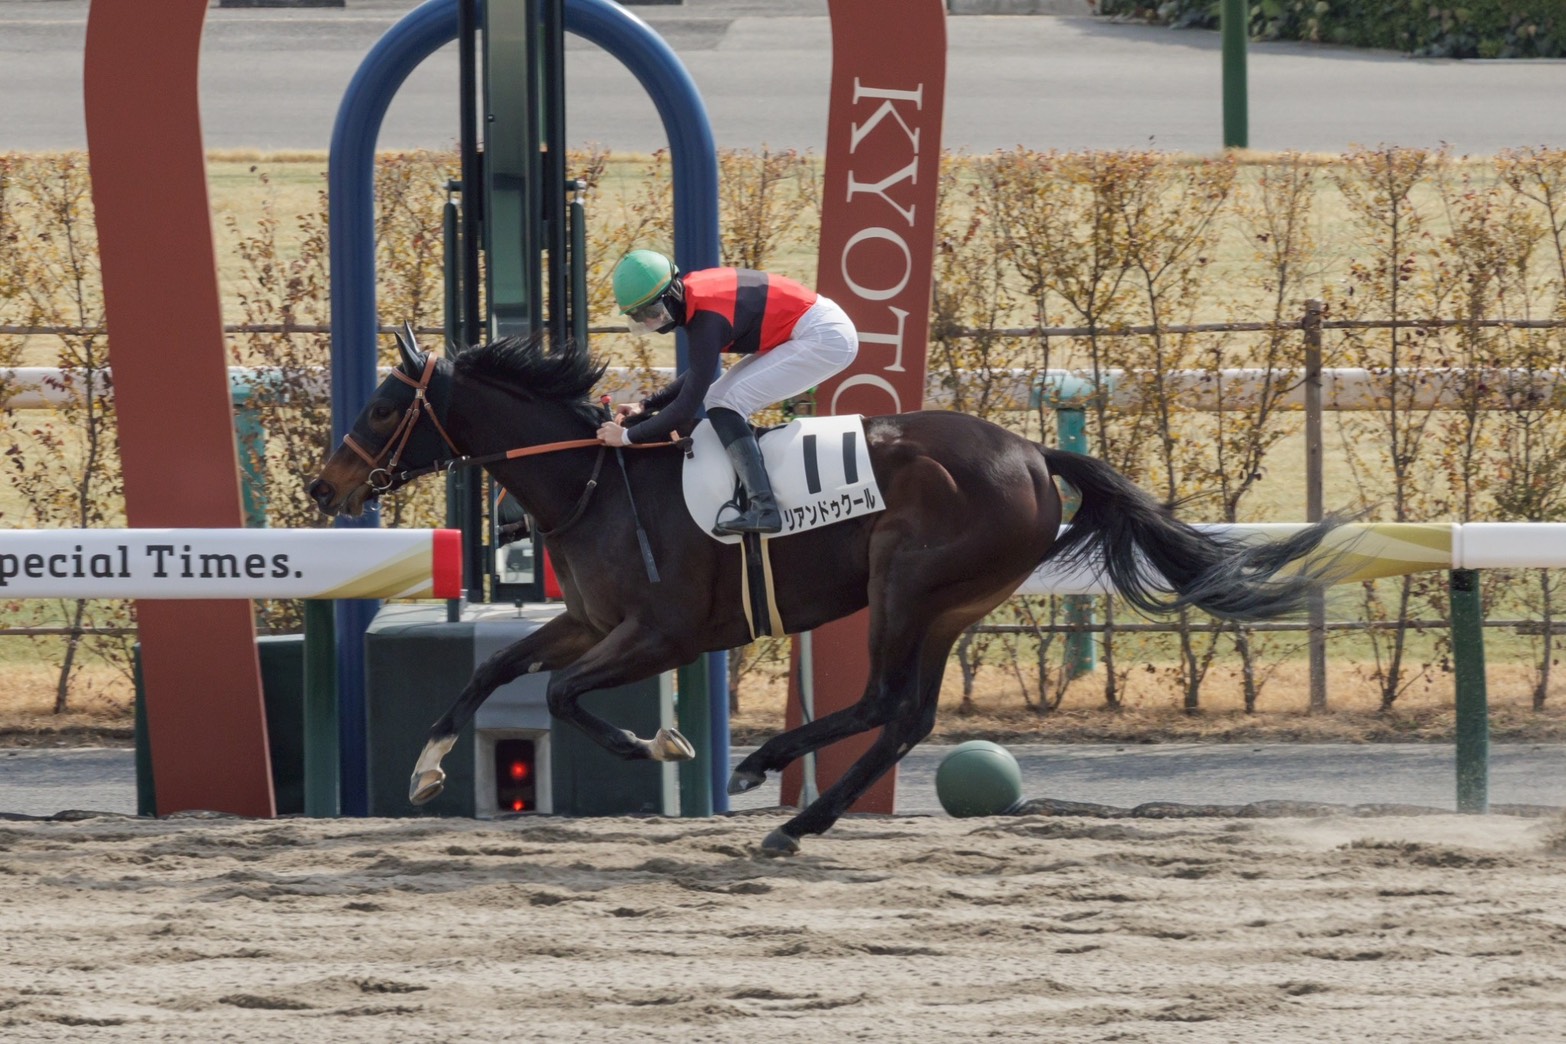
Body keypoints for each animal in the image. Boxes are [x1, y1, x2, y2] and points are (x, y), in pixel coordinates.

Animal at [308, 330, 1340, 855]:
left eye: (386, 406)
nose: (324, 486)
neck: (593, 482)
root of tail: (1032, 452)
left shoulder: (666, 634)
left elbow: (561, 696)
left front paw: (661, 744)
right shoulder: (590, 619)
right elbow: (492, 678)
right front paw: (427, 768)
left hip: (907, 583)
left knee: (884, 700)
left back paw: (768, 776)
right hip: (952, 606)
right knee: (907, 715)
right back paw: (799, 817)